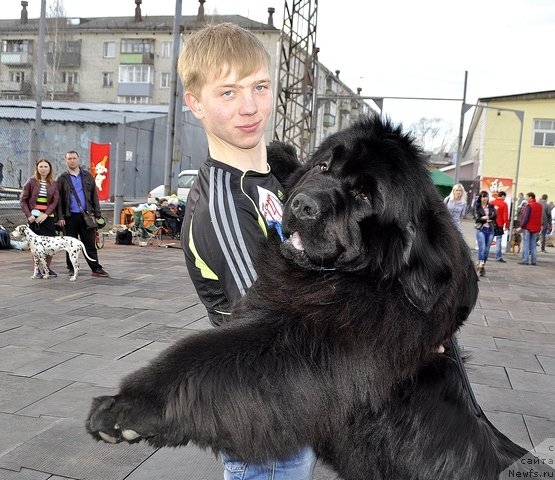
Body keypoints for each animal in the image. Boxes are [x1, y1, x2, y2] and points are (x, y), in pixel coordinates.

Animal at [87, 117, 552, 480]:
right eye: (325, 165)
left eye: (365, 195)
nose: (304, 204)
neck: (363, 278)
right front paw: (278, 152)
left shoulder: (309, 346)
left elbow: (205, 357)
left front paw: (127, 408)